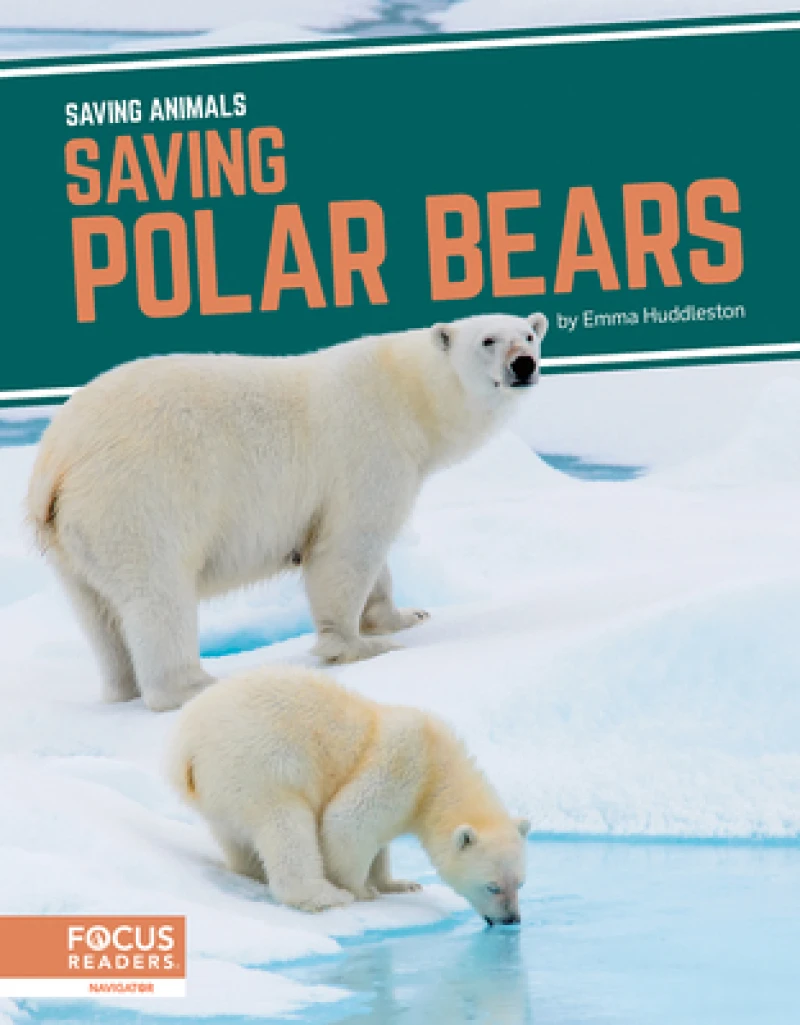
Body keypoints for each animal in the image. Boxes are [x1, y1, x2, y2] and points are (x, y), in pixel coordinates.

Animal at [27, 312, 547, 711]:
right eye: (488, 339)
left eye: (529, 333)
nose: (524, 364)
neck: (407, 392)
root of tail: (56, 459)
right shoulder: (367, 449)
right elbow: (348, 546)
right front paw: (360, 645)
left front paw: (406, 616)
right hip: (137, 498)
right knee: (156, 594)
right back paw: (196, 684)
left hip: (74, 539)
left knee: (98, 614)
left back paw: (122, 688)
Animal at [168, 664, 530, 923]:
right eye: (493, 886)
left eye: (521, 883)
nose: (512, 919)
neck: (437, 766)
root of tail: (186, 748)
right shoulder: (401, 765)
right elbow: (346, 823)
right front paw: (362, 891)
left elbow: (379, 844)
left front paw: (399, 884)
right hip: (261, 765)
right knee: (286, 827)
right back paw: (324, 896)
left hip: (222, 791)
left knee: (235, 838)